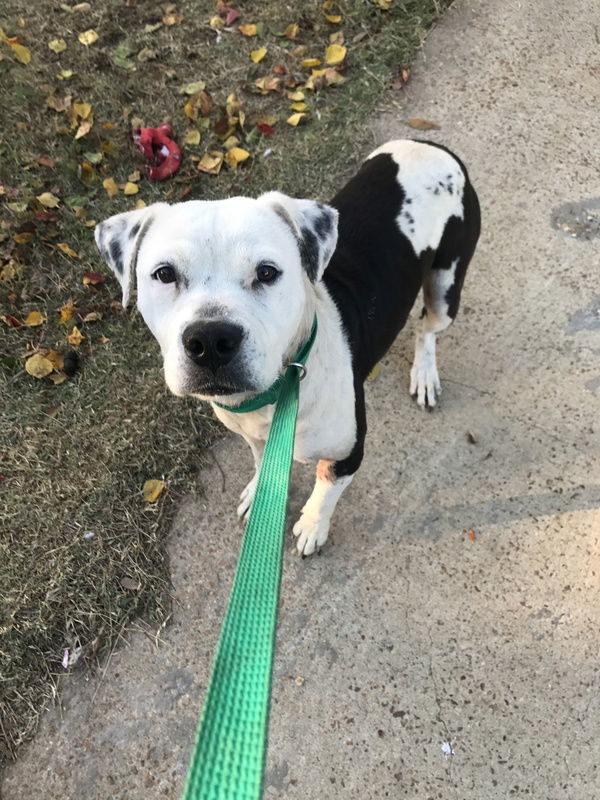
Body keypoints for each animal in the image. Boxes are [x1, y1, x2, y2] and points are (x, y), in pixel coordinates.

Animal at [96, 139, 480, 556]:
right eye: (164, 274)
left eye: (267, 272)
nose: (210, 340)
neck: (278, 392)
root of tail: (431, 146)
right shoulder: (252, 435)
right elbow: (260, 461)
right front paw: (260, 493)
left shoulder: (347, 454)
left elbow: (324, 493)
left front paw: (312, 526)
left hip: (446, 287)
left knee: (427, 328)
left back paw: (424, 374)